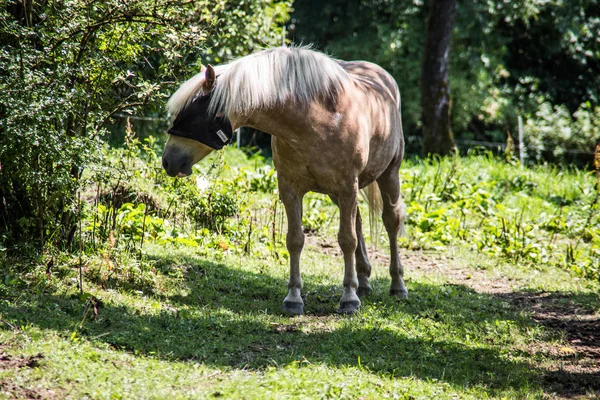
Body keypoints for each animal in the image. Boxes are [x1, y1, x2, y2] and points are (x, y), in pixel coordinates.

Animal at [162, 46, 410, 316]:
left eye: (190, 115)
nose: (167, 161)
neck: (318, 120)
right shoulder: (291, 189)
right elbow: (295, 240)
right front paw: (293, 298)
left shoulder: (347, 187)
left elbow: (346, 240)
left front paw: (348, 298)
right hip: (339, 193)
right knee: (359, 222)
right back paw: (363, 281)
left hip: (387, 176)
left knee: (391, 221)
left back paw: (397, 285)